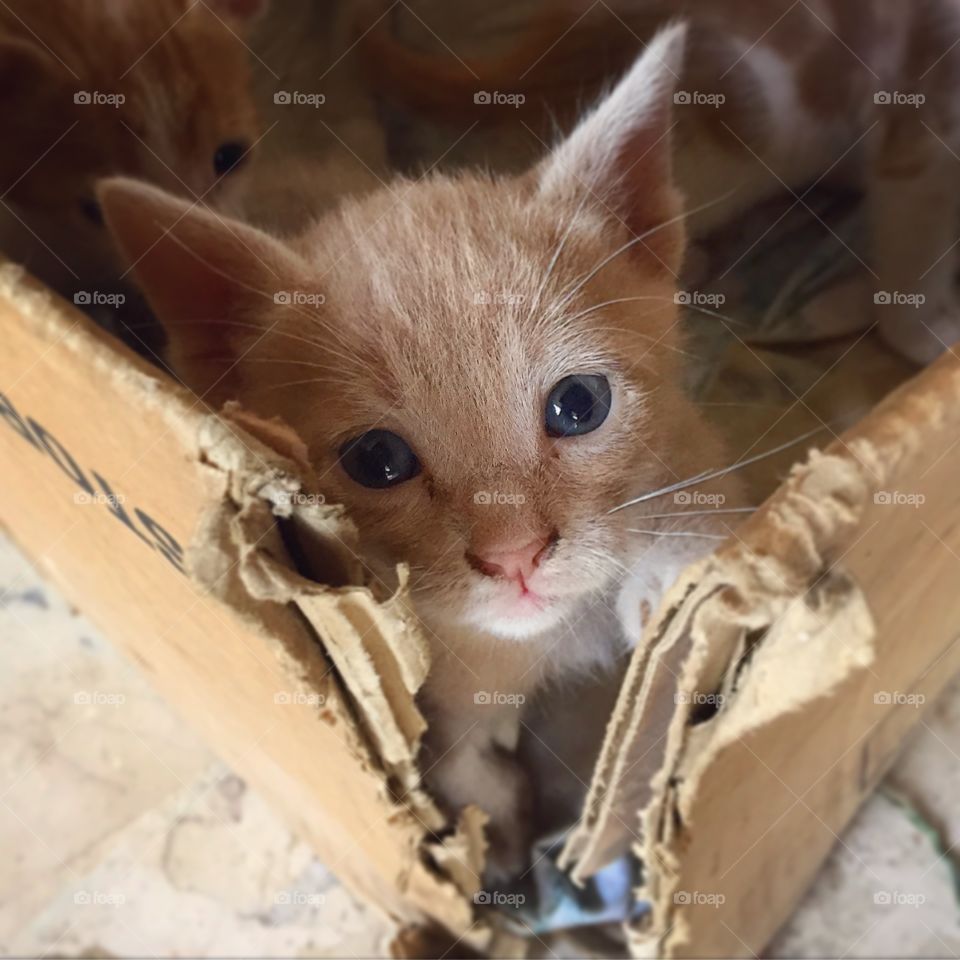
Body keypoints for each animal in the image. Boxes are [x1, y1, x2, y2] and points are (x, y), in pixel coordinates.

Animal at [97, 28, 740, 884]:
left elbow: (705, 488)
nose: (515, 556)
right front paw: (490, 828)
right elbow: (450, 753)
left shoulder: (684, 425)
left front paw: (672, 565)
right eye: (377, 460)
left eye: (580, 405)